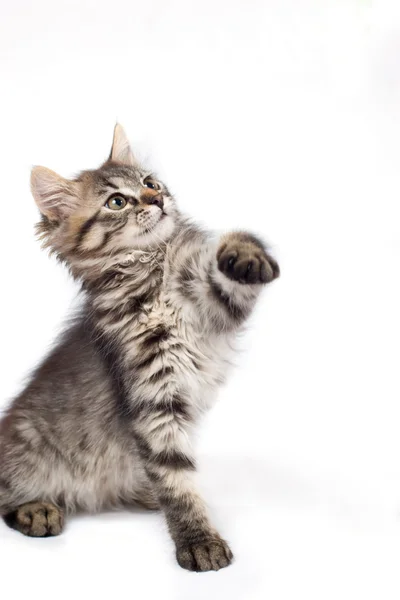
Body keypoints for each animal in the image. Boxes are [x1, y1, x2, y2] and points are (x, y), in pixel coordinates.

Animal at [0, 126, 278, 572]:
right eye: (117, 201)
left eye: (150, 182)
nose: (158, 199)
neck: (153, 270)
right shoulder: (153, 393)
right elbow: (174, 477)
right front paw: (198, 540)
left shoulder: (214, 313)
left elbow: (228, 269)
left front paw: (244, 251)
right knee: (8, 495)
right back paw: (37, 510)